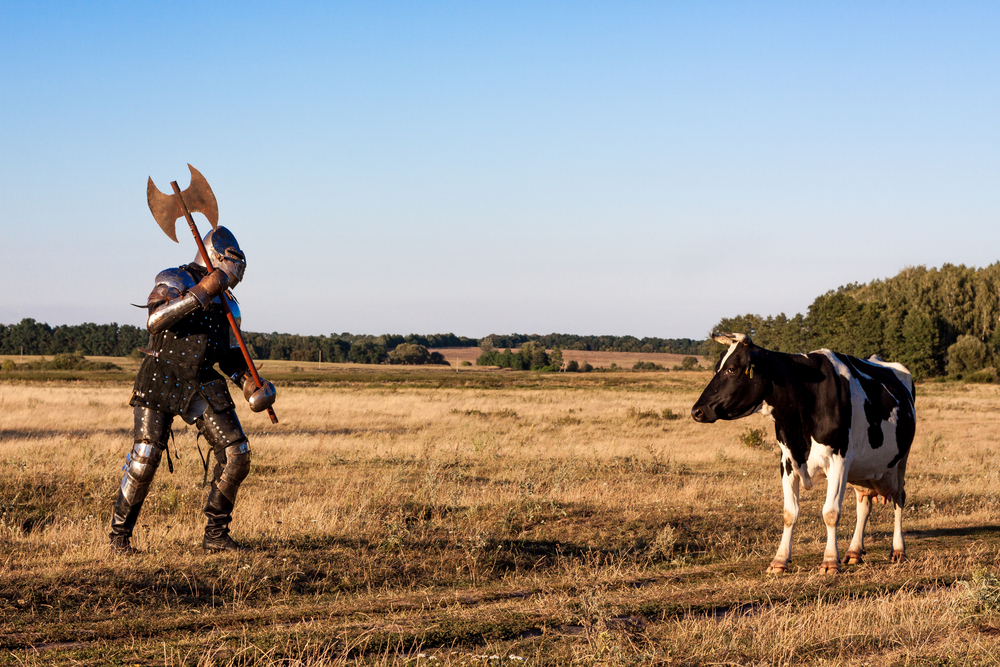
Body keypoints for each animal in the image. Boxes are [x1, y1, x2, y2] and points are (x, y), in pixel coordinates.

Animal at [696, 334, 916, 576]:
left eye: (732, 369)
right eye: (717, 367)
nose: (697, 410)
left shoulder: (839, 461)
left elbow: (831, 512)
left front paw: (830, 561)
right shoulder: (787, 461)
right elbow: (789, 513)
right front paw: (780, 560)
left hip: (901, 459)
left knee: (899, 498)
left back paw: (898, 550)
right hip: (864, 469)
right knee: (864, 504)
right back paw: (854, 551)